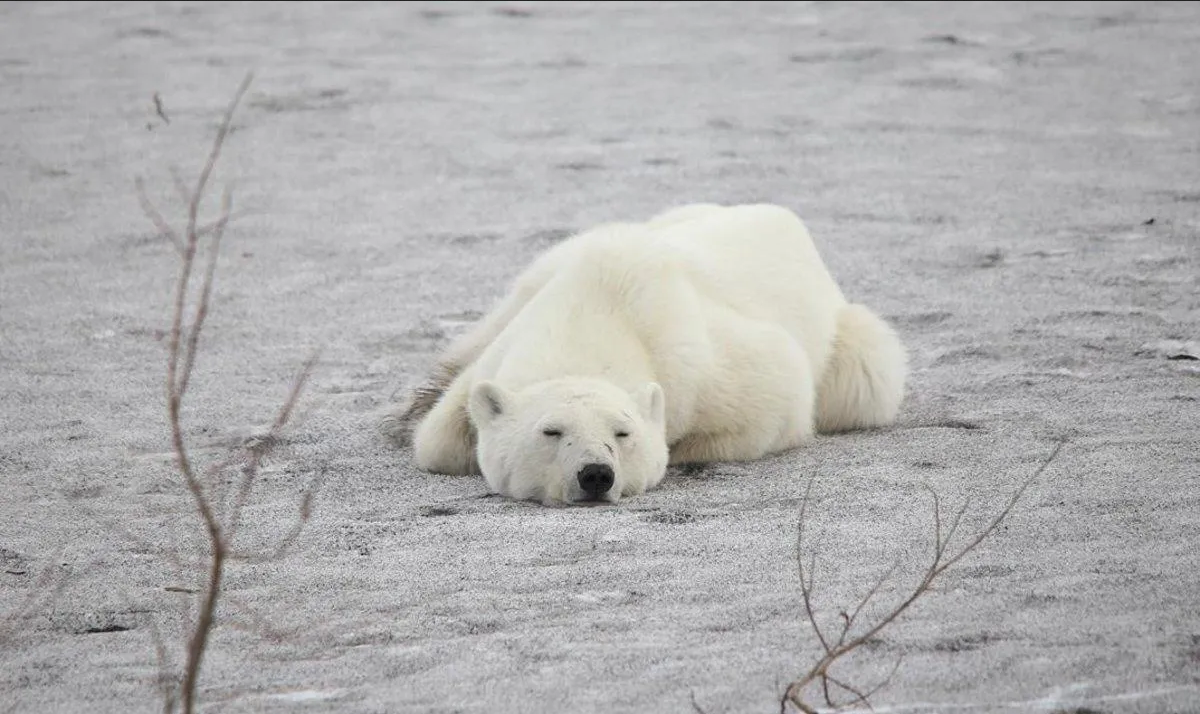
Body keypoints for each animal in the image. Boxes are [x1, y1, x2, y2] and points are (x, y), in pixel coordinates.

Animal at [381, 203, 907, 505]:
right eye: (551, 431)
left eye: (622, 432)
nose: (596, 474)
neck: (599, 311)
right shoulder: (510, 339)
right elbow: (438, 441)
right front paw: (420, 421)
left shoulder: (709, 365)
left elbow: (776, 398)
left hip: (850, 346)